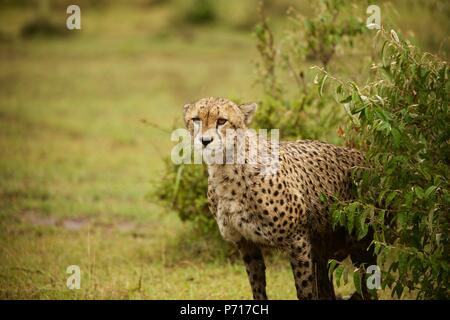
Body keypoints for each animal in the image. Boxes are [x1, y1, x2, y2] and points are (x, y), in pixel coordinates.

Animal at [183, 96, 376, 298]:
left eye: (221, 121)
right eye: (196, 119)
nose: (205, 141)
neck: (226, 170)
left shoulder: (298, 240)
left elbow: (305, 289)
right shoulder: (245, 243)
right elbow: (257, 287)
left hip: (360, 245)